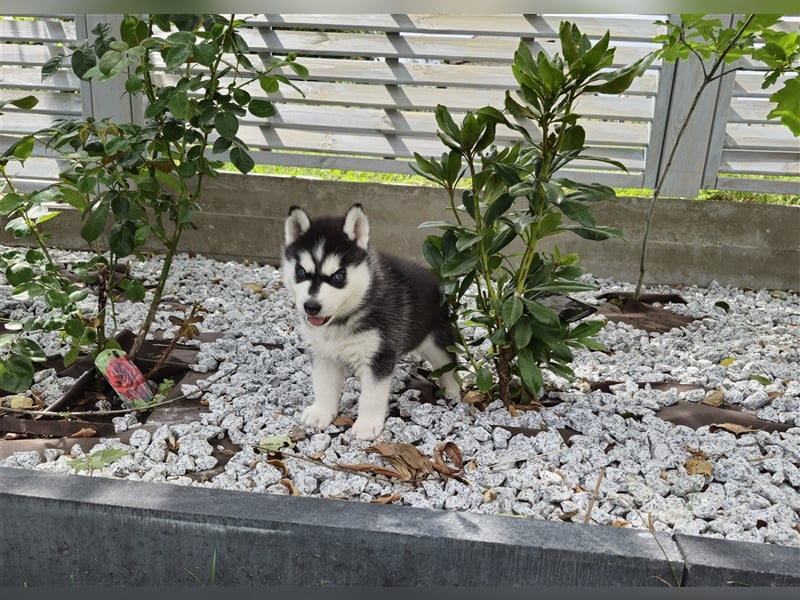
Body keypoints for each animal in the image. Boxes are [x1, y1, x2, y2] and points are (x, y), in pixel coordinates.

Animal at [282, 204, 460, 438]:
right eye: (301, 272)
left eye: (338, 276)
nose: (311, 306)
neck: (342, 320)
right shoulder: (323, 354)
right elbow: (324, 385)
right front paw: (321, 413)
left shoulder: (380, 356)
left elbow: (371, 396)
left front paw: (366, 425)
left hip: (436, 340)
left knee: (448, 363)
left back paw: (453, 390)